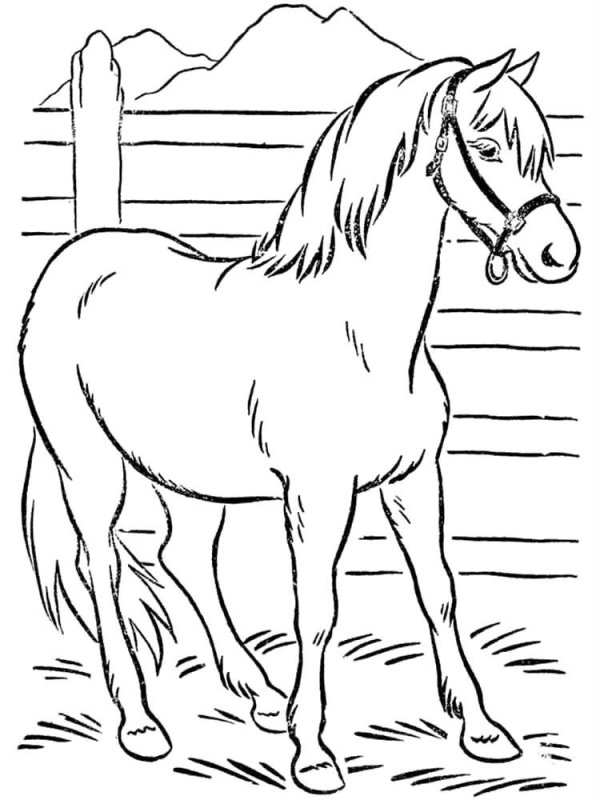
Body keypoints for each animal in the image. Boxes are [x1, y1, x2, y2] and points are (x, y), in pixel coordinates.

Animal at [20, 51, 579, 794]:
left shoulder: (413, 481)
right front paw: (312, 754)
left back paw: (255, 692)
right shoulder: (317, 496)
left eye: (544, 153)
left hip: (191, 476)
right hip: (91, 467)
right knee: (103, 565)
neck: (362, 337)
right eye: (488, 147)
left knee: (182, 557)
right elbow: (316, 613)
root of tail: (73, 258)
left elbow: (439, 593)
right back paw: (140, 723)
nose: (558, 255)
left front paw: (483, 731)